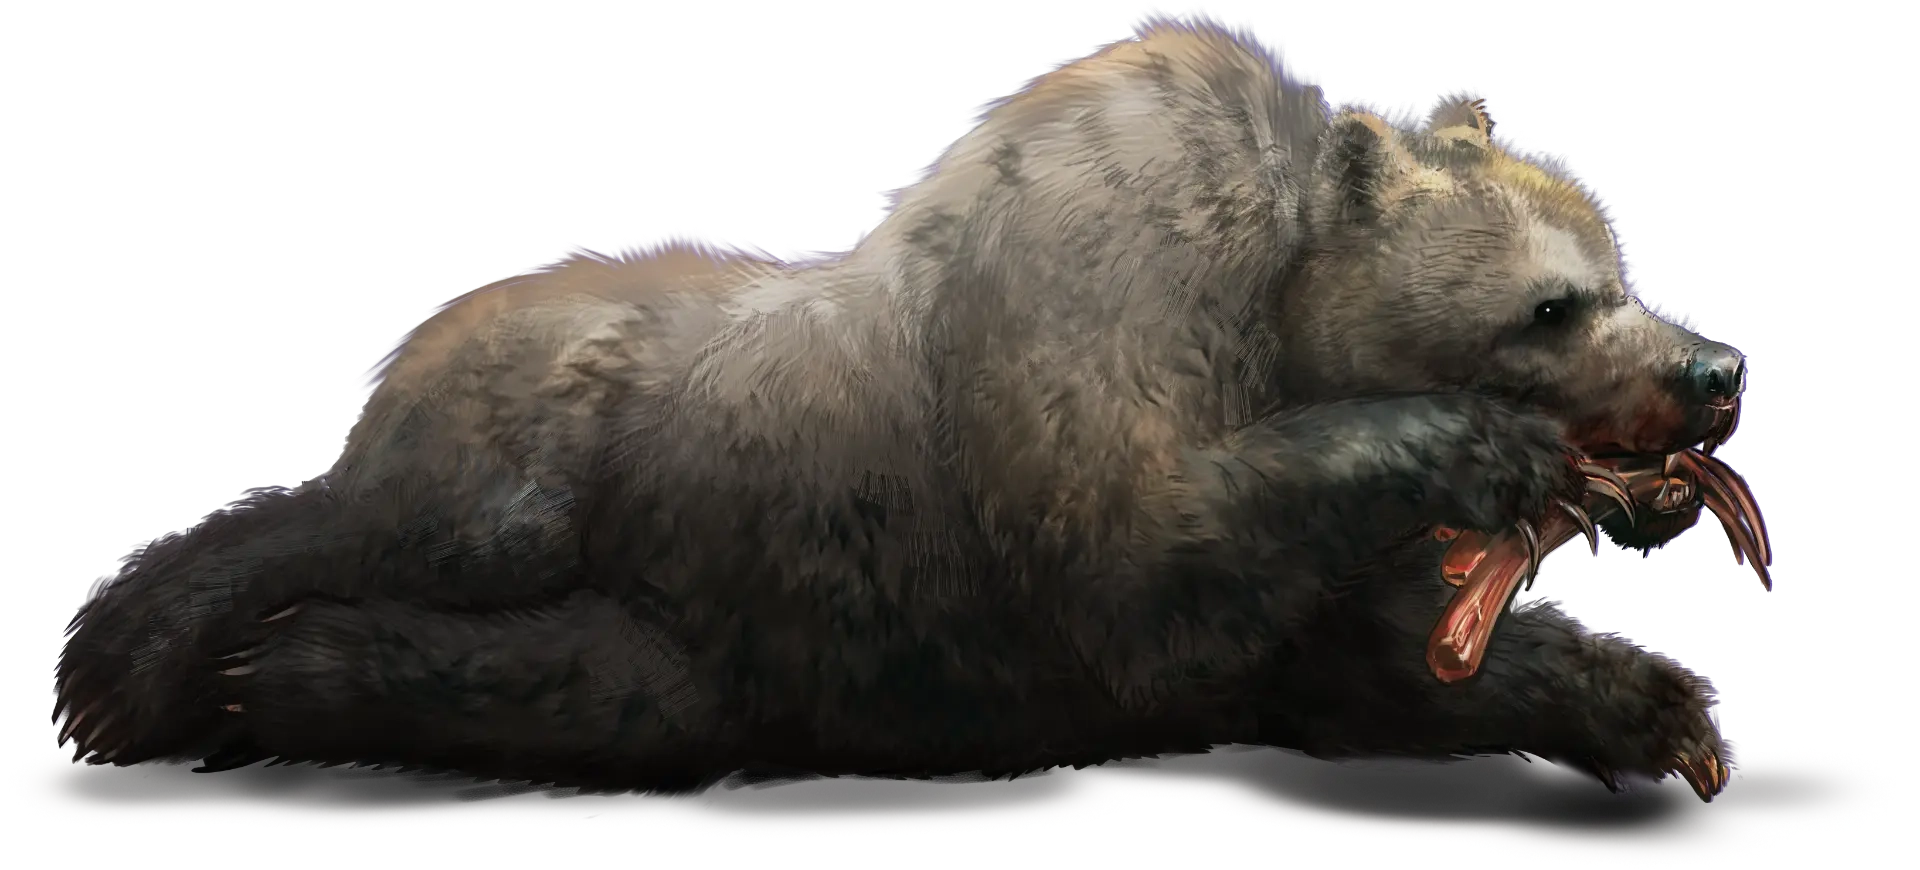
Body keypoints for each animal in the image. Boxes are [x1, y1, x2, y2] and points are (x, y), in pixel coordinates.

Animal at [54, 8, 1745, 798]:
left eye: (1619, 257)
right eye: (1553, 302)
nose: (1715, 374)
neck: (1273, 314)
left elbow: (1365, 659)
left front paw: (1658, 708)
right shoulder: (1082, 338)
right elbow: (1146, 554)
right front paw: (1482, 450)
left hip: (704, 633)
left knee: (579, 677)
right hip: (567, 447)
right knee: (407, 532)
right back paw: (190, 660)